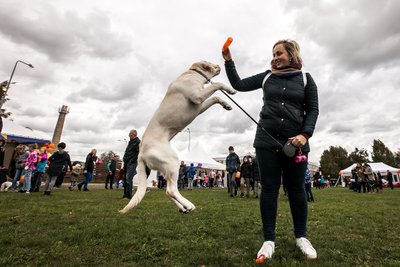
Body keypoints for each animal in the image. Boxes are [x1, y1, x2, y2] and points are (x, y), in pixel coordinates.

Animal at [120, 60, 236, 214]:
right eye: (210, 63)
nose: (219, 65)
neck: (192, 75)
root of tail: (141, 154)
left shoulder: (200, 106)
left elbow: (215, 97)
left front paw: (226, 104)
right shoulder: (197, 96)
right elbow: (216, 85)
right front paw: (231, 90)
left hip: (165, 169)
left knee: (168, 192)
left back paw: (183, 208)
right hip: (173, 162)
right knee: (170, 190)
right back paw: (189, 205)